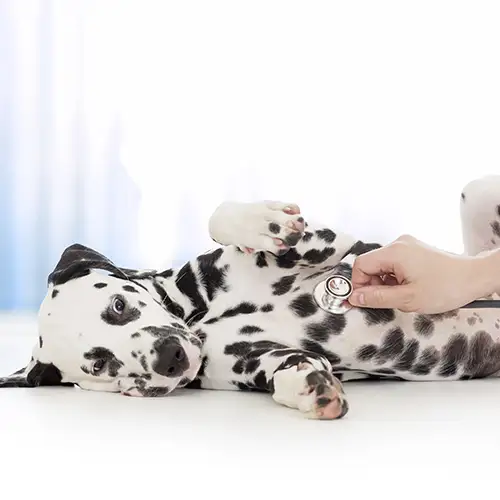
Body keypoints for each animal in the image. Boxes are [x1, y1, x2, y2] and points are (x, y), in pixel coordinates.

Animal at [0, 176, 500, 418]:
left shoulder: (339, 248)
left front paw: (264, 223)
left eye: (118, 307)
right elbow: (291, 372)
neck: (201, 316)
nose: (169, 359)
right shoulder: (262, 360)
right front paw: (309, 390)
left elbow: (221, 215)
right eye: (100, 364)